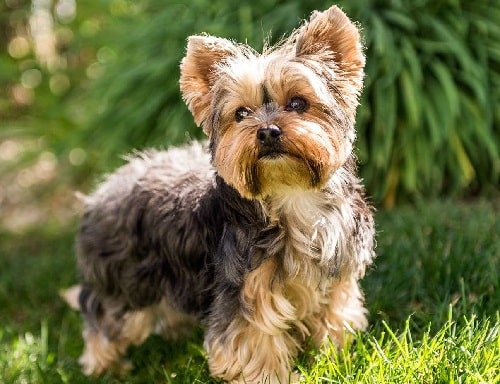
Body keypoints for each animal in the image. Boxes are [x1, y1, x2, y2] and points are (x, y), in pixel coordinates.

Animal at [62, 4, 376, 382]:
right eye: (241, 113)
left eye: (298, 103)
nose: (267, 132)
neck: (291, 195)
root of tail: (102, 191)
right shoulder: (244, 289)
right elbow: (255, 341)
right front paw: (273, 376)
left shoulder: (337, 275)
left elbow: (334, 315)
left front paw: (333, 357)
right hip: (125, 279)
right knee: (104, 316)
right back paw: (104, 365)